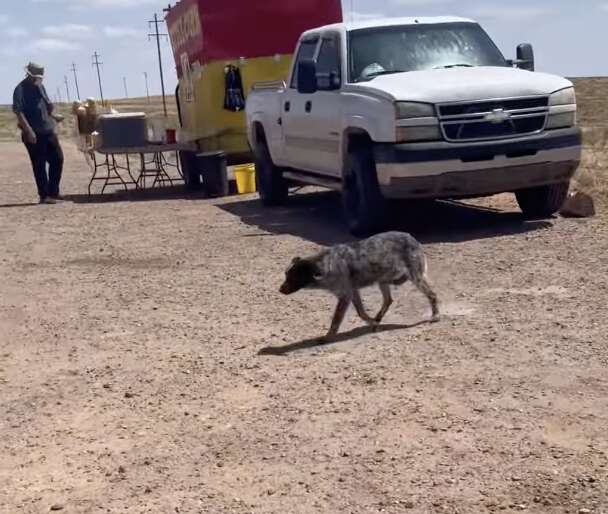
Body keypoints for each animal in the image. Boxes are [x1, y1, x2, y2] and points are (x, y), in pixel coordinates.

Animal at [278, 230, 440, 338]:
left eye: (292, 277)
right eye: (286, 275)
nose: (279, 290)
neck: (324, 265)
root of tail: (411, 237)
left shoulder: (345, 296)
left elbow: (336, 319)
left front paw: (329, 335)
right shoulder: (353, 292)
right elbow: (361, 312)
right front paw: (372, 322)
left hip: (415, 277)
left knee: (432, 295)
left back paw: (436, 316)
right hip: (382, 279)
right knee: (388, 300)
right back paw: (378, 318)